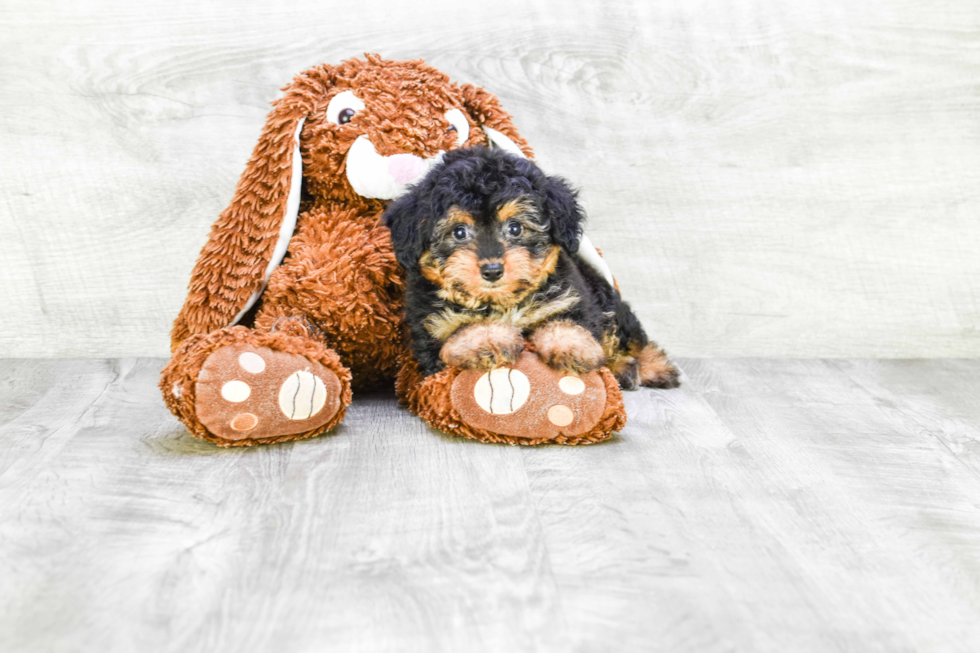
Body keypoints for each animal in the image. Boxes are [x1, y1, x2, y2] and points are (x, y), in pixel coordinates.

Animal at [384, 148, 680, 390]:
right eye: (459, 232)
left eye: (515, 228)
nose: (492, 270)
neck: (503, 302)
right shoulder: (431, 328)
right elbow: (465, 327)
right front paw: (487, 339)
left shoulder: (571, 297)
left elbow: (568, 322)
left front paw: (572, 346)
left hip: (606, 298)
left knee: (630, 336)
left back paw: (652, 367)